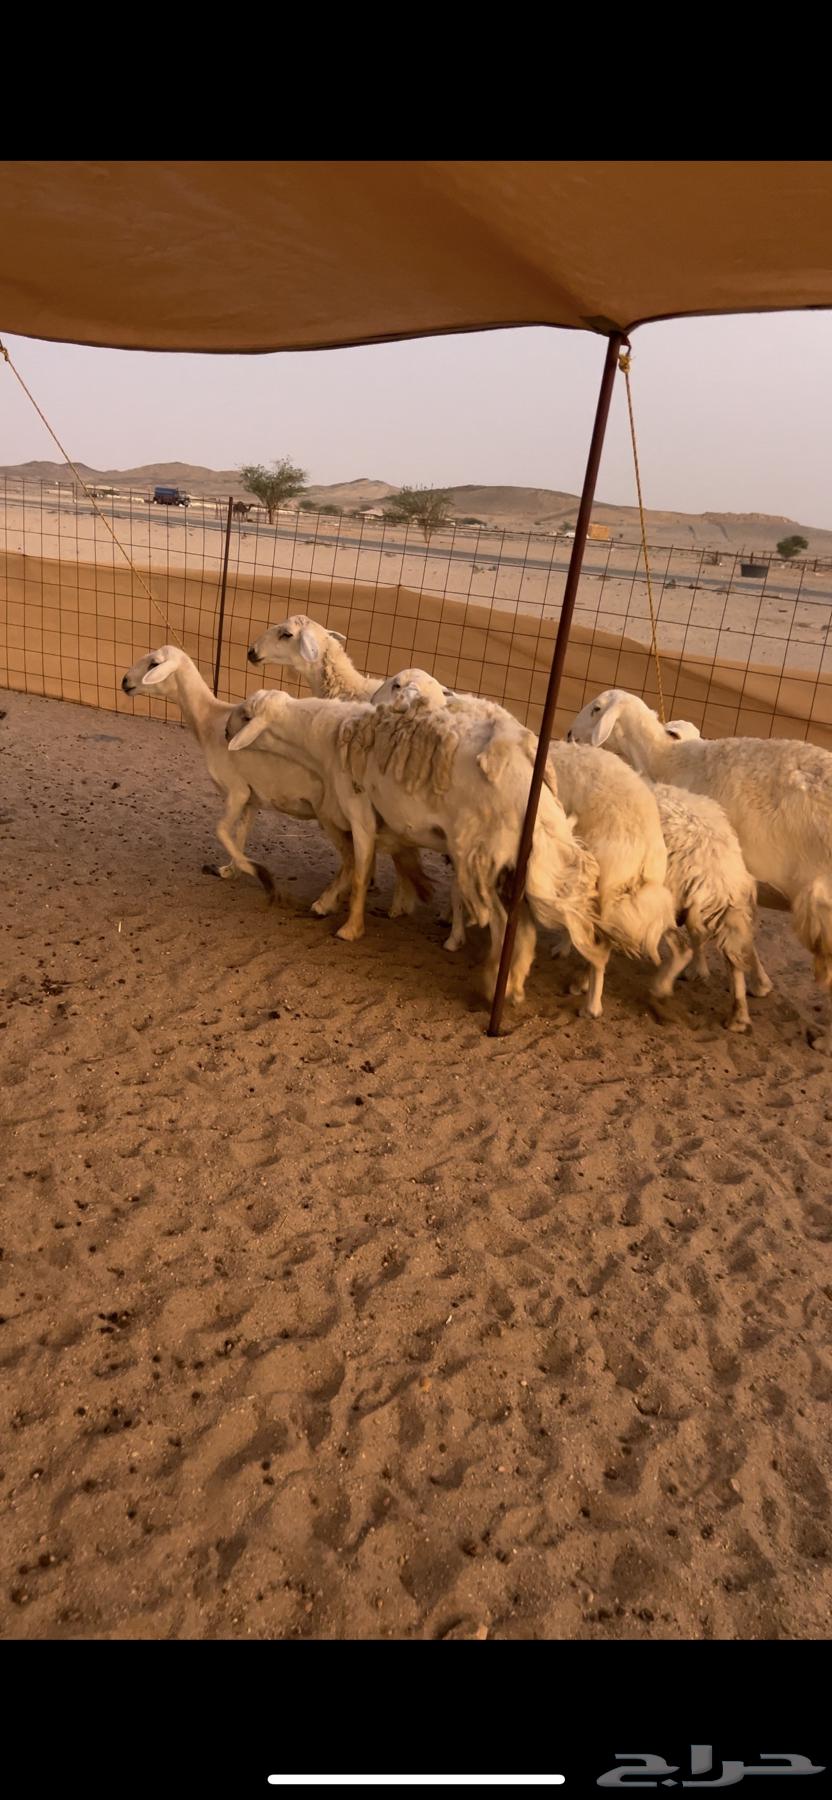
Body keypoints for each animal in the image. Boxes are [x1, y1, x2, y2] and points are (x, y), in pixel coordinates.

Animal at [228, 688, 603, 1005]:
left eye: (245, 715)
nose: (225, 731)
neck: (326, 735)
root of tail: (533, 791)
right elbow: (357, 864)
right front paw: (330, 901)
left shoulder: (358, 812)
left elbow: (360, 871)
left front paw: (351, 928)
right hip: (512, 863)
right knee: (522, 927)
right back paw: (513, 985)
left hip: (480, 854)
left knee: (503, 921)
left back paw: (496, 984)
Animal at [568, 688, 832, 1047]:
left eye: (596, 708)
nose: (569, 733)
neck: (666, 760)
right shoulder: (725, 877)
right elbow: (736, 931)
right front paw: (757, 981)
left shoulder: (710, 868)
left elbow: (708, 929)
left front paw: (703, 970)